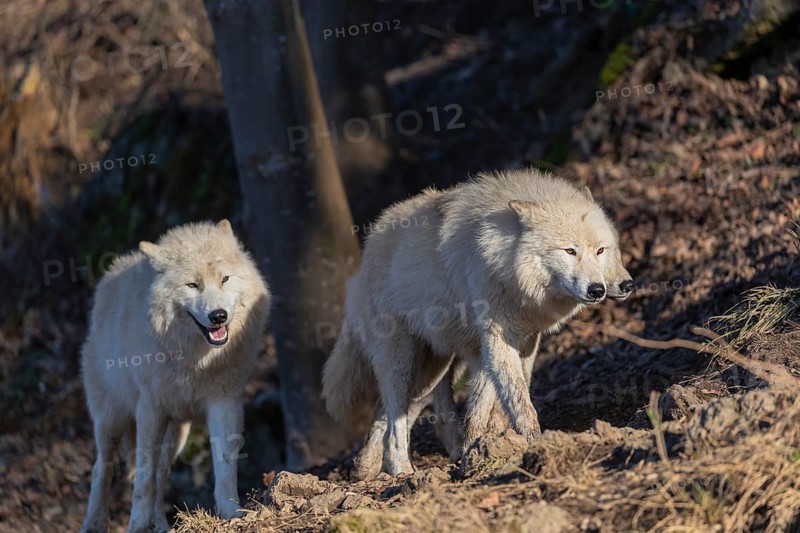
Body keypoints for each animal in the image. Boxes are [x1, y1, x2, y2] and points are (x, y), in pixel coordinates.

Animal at [80, 220, 270, 533]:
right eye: (192, 285)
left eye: (225, 279)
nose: (218, 316)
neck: (195, 362)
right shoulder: (150, 408)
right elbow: (143, 480)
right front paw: (136, 526)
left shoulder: (224, 403)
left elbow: (225, 467)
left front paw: (231, 514)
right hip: (111, 419)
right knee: (102, 468)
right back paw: (95, 522)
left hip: (176, 437)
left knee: (160, 476)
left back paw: (161, 526)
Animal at [322, 169, 629, 478]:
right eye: (569, 251)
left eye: (601, 250)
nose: (598, 290)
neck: (508, 266)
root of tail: (366, 254)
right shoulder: (497, 337)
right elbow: (519, 400)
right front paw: (533, 443)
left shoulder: (522, 341)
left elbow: (486, 406)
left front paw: (478, 449)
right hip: (403, 360)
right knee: (395, 421)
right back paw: (402, 471)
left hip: (432, 371)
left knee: (388, 414)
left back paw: (366, 469)